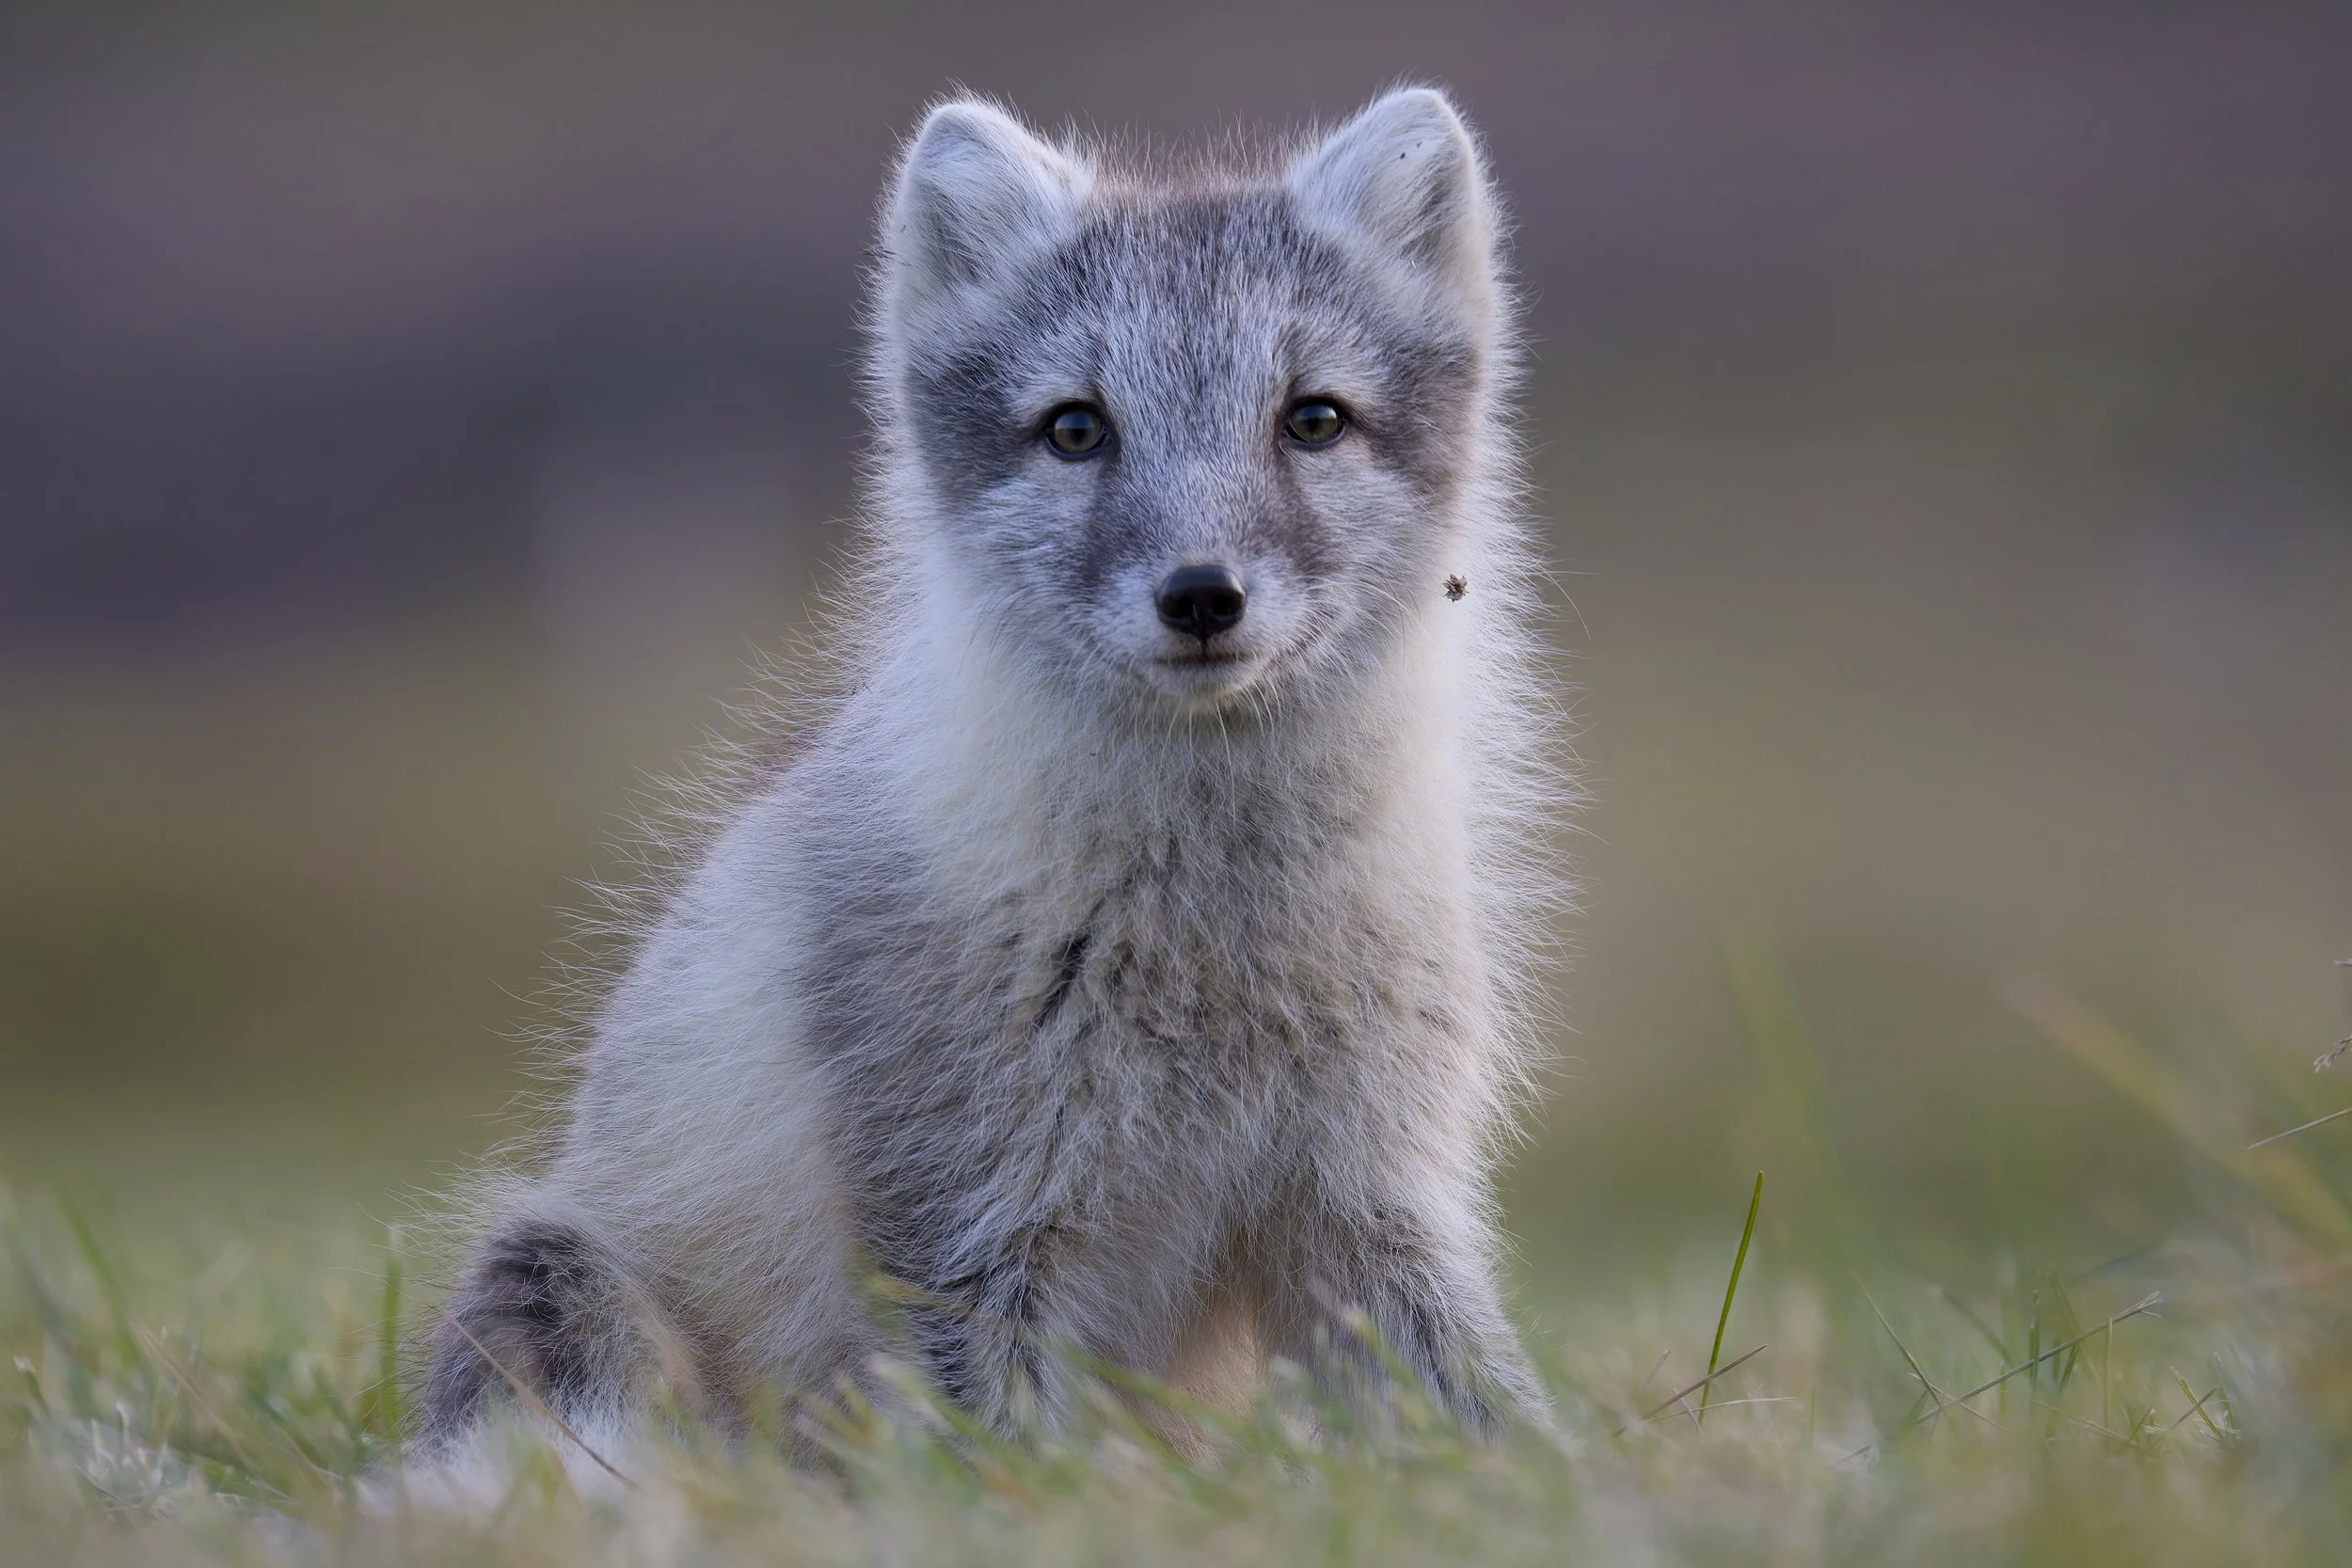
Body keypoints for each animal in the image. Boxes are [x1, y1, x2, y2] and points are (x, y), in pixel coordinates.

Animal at [418, 85, 1570, 1478]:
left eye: (1315, 418)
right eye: (1075, 428)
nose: (1201, 594)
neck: (1215, 940)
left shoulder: (1372, 1193)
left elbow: (1485, 1407)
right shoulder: (964, 1222)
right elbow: (1007, 1458)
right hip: (563, 1274)